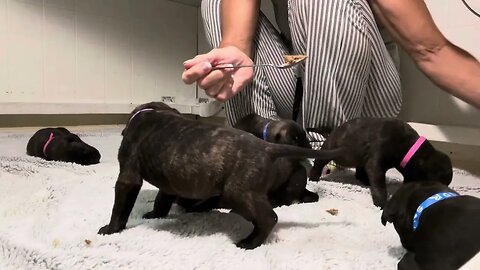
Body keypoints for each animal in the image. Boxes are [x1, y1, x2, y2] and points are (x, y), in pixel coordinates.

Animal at [310, 117, 452, 208]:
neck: (408, 146)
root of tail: (333, 130)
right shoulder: (376, 161)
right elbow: (379, 184)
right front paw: (381, 203)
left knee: (360, 170)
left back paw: (365, 181)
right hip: (328, 148)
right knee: (318, 163)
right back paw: (313, 179)